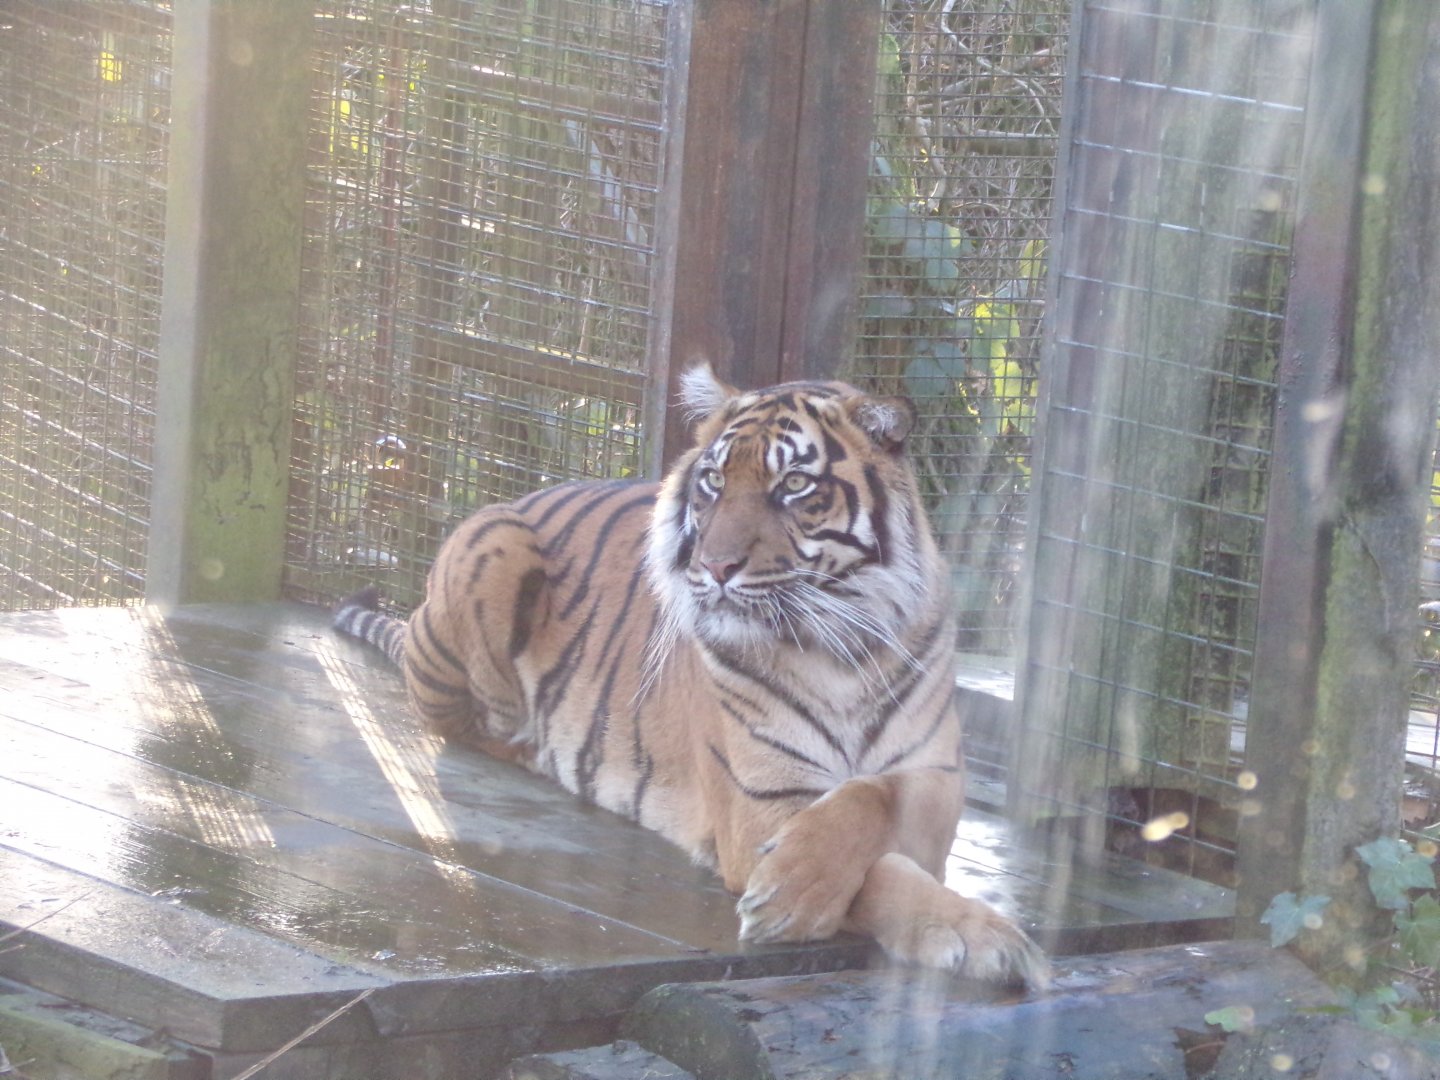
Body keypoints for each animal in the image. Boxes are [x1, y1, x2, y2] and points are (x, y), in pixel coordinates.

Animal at [333, 364, 1049, 988]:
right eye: (712, 481)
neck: (843, 649)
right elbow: (876, 864)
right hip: (493, 542)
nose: (716, 566)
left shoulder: (939, 776)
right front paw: (796, 898)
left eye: (793, 486)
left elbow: (871, 798)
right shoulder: (763, 805)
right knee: (468, 723)